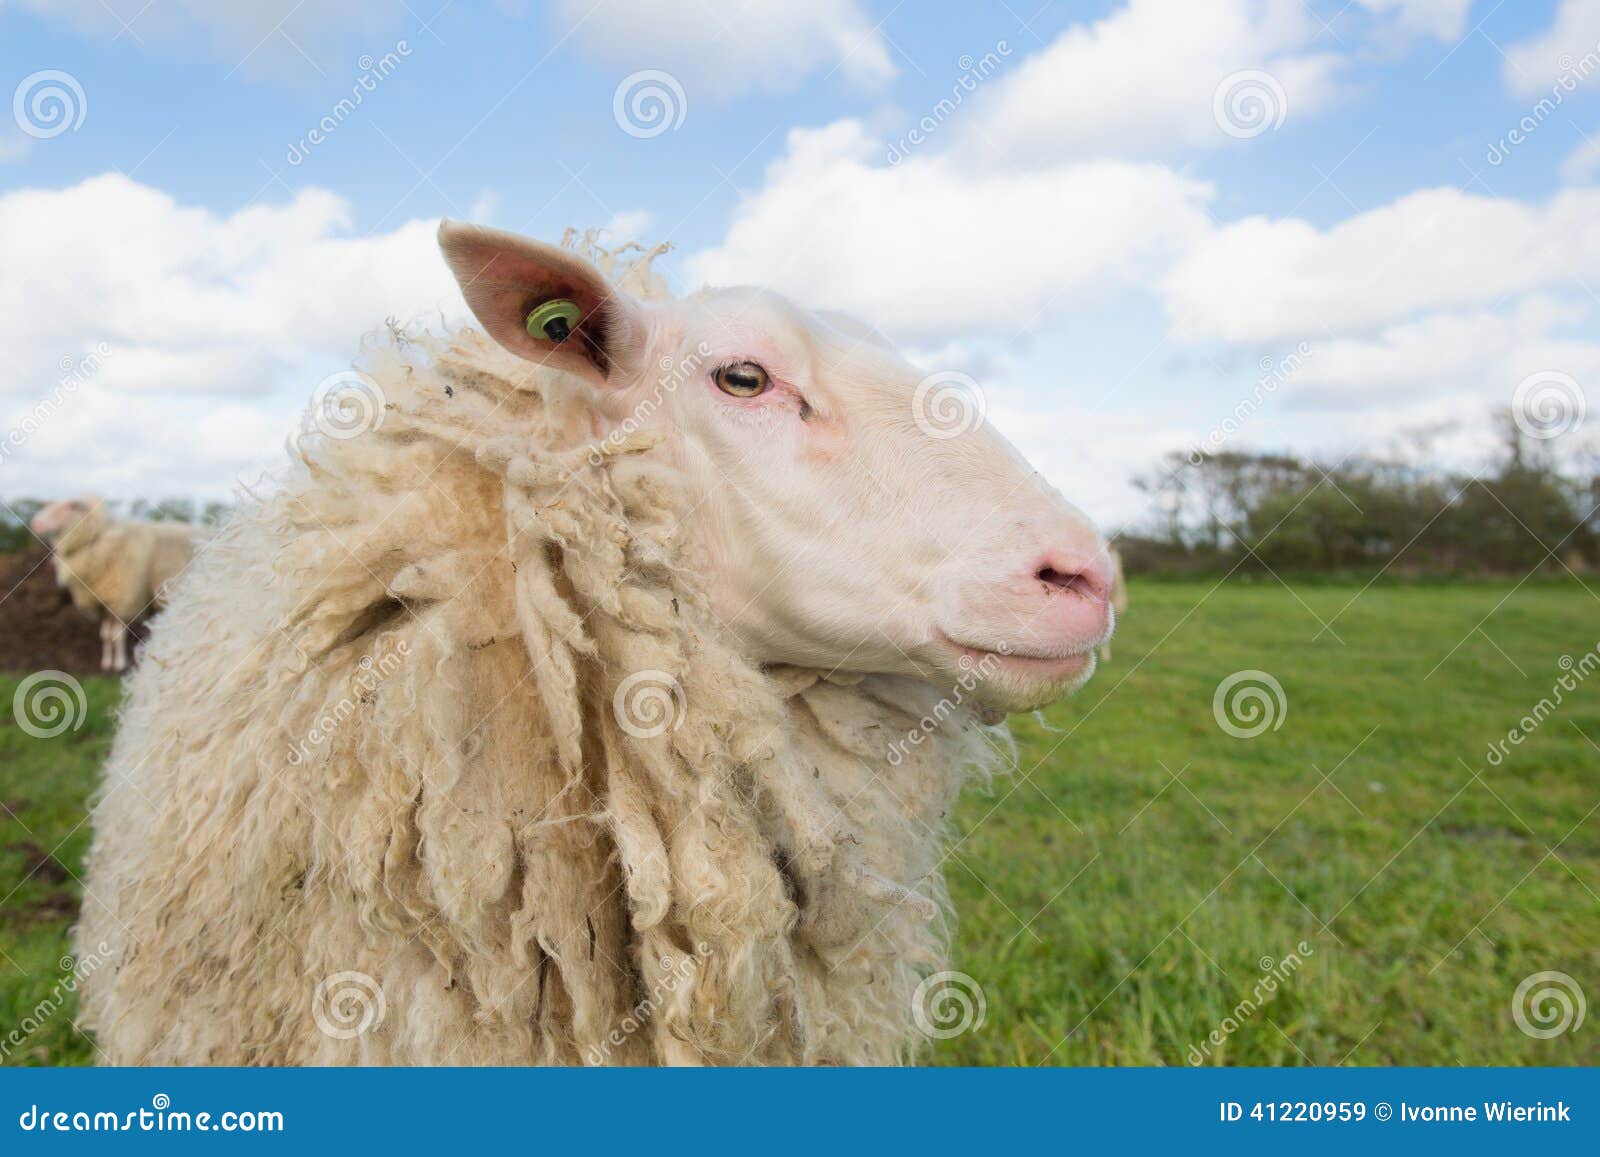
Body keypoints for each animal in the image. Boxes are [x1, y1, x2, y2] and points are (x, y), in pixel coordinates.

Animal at [28, 499, 201, 678]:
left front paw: (119, 664)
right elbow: (105, 635)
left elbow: (117, 636)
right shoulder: (103, 602)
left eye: (68, 506)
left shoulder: (122, 600)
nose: (36, 524)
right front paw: (106, 663)